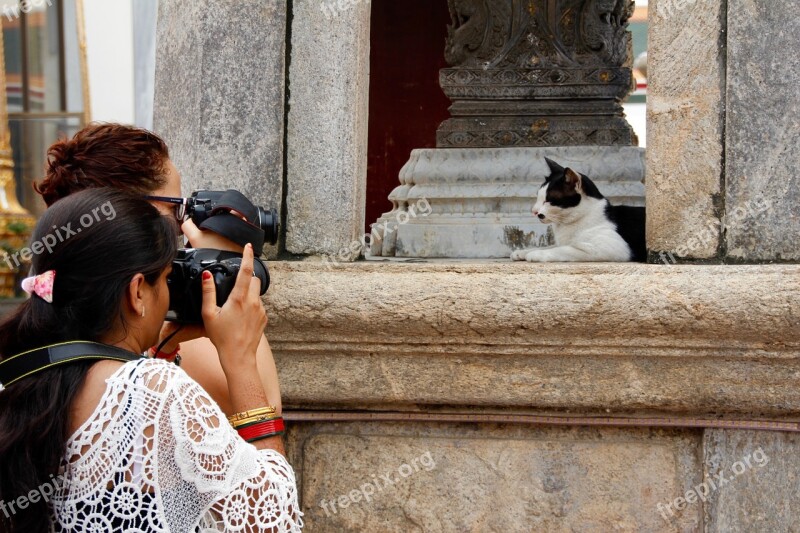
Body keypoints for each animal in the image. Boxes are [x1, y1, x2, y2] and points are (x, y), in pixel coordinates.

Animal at [512, 157, 644, 262]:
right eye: (538, 196)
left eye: (548, 200)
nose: (534, 211)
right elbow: (552, 245)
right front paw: (524, 251)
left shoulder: (613, 248)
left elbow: (565, 249)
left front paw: (535, 253)